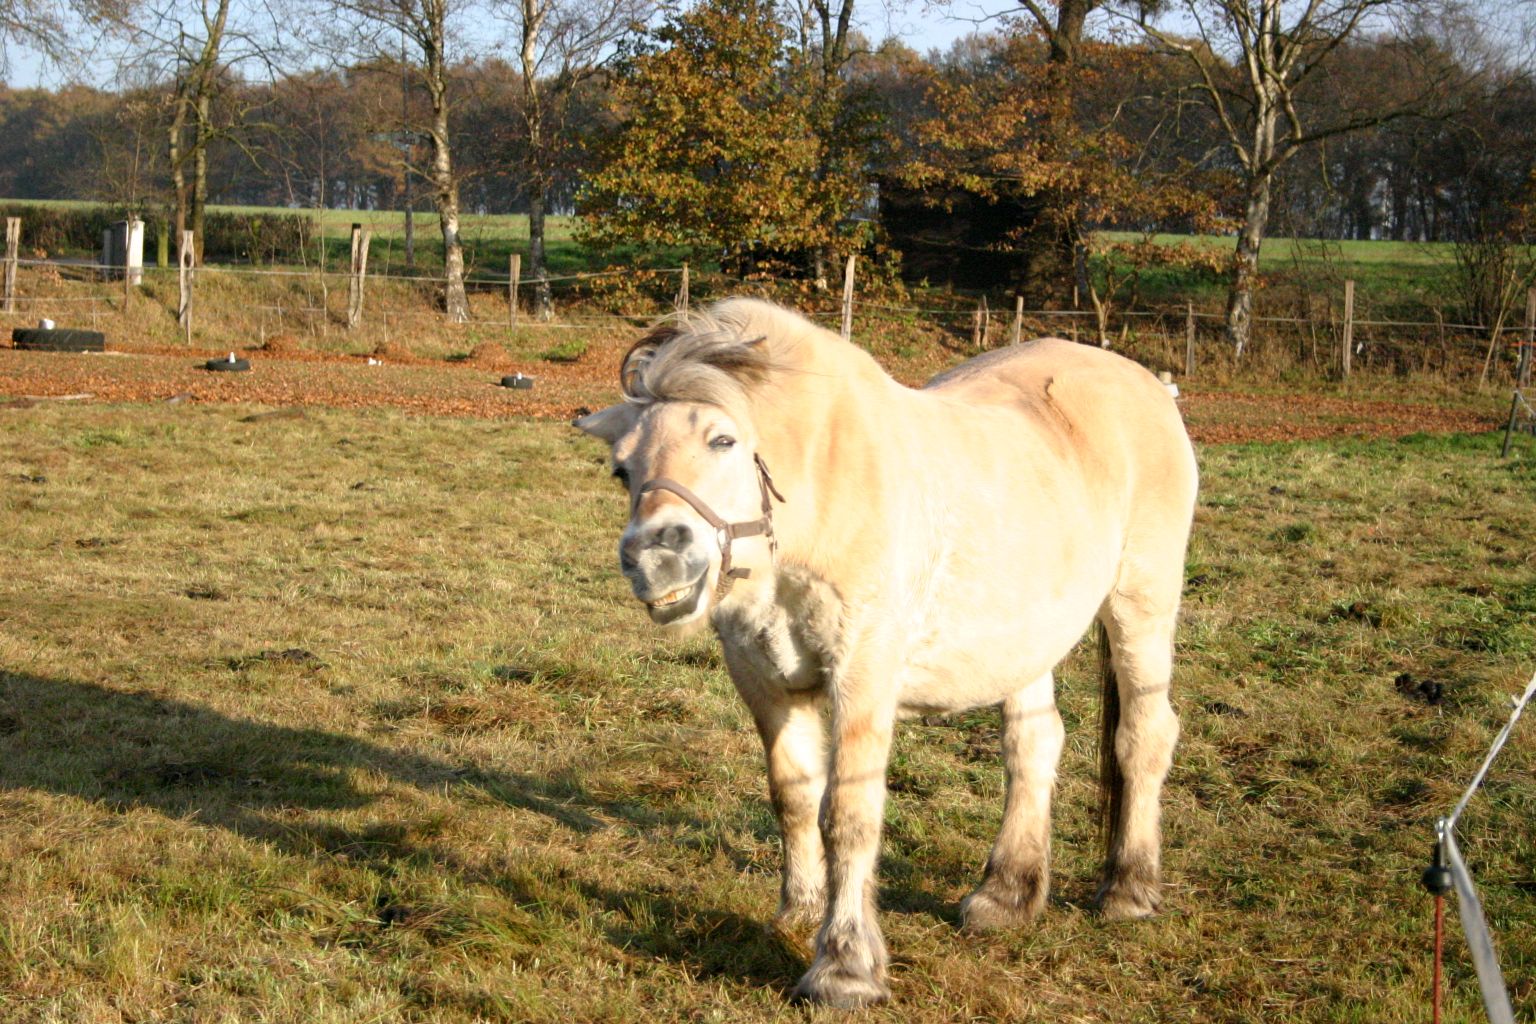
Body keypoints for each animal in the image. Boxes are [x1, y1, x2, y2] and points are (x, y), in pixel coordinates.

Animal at [574, 297, 1198, 1007]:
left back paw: (1130, 888)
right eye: (622, 469)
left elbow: (848, 813)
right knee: (1034, 745)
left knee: (1144, 736)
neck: (818, 498)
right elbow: (793, 796)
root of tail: (1149, 385)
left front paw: (844, 966)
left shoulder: (863, 674)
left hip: (1141, 607)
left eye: (722, 440)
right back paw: (1006, 895)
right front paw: (797, 916)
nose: (655, 556)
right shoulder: (764, 678)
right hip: (1025, 640)